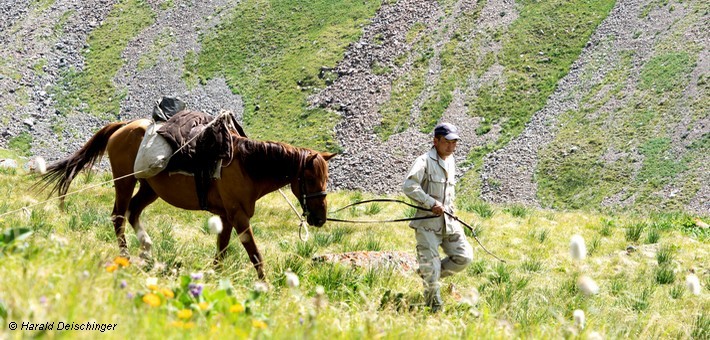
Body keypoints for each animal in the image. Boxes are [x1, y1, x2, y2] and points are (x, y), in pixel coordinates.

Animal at [41, 119, 336, 278]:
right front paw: (265, 286)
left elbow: (222, 251)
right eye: (311, 179)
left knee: (133, 212)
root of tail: (123, 127)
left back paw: (147, 250)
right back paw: (127, 256)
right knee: (118, 216)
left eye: (326, 179)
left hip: (149, 188)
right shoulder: (239, 217)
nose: (320, 218)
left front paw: (215, 278)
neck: (246, 165)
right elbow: (255, 255)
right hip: (125, 182)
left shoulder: (226, 217)